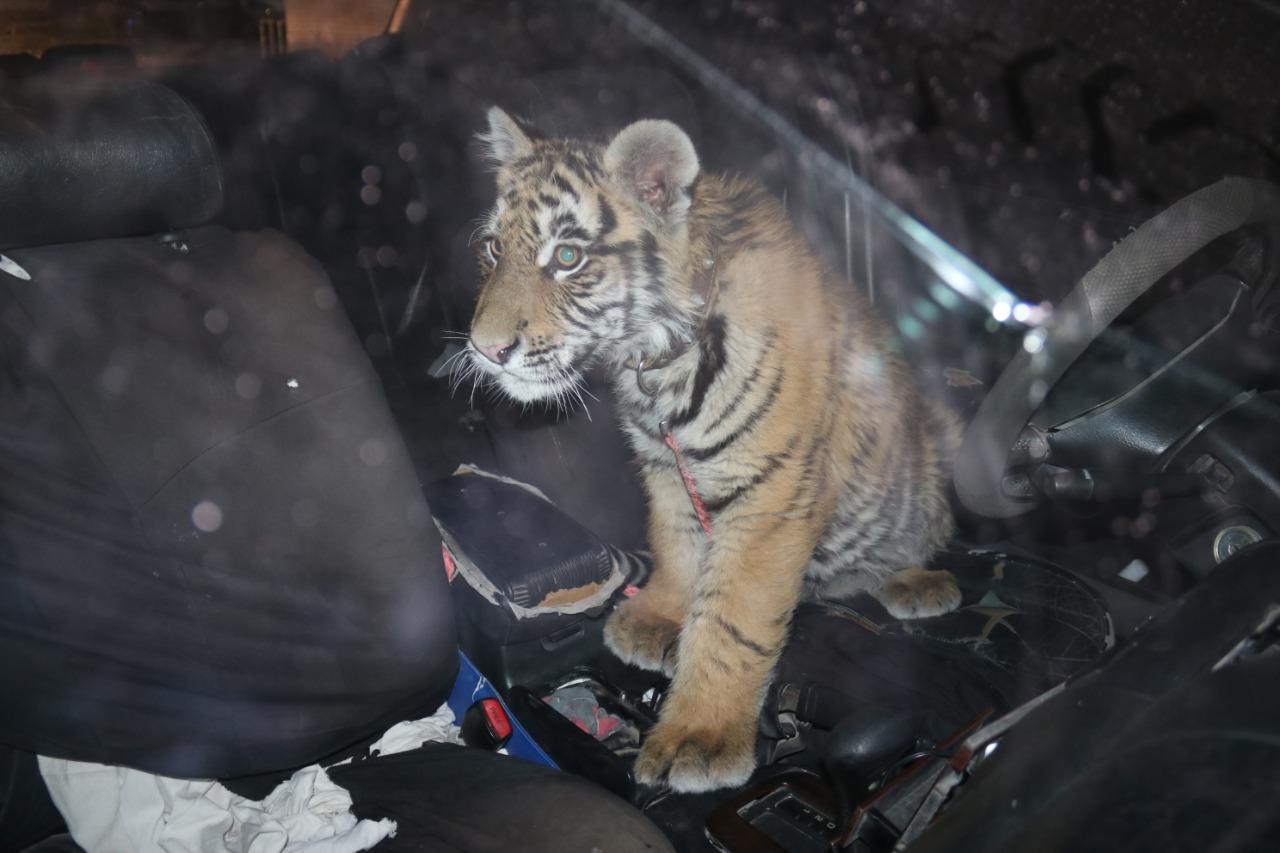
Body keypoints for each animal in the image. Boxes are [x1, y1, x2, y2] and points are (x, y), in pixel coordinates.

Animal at [465, 106, 962, 793]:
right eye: (493, 248)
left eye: (567, 257)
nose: (485, 351)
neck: (656, 358)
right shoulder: (665, 466)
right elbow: (677, 543)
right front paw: (661, 619)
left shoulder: (770, 492)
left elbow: (733, 621)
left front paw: (699, 737)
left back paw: (916, 582)